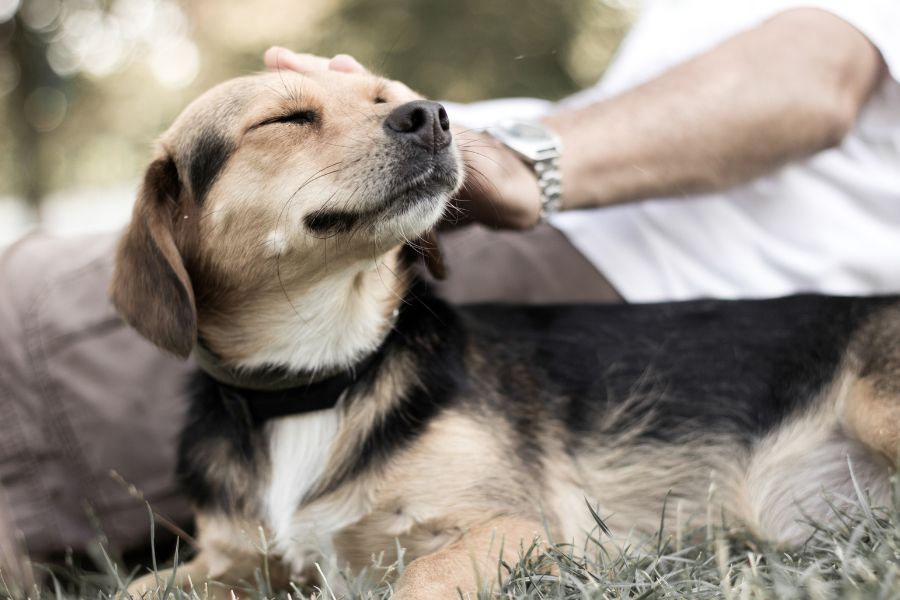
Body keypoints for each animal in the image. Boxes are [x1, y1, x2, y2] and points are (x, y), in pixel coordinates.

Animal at [110, 69, 900, 596]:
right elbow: (134, 586)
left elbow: (415, 581)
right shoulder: (234, 565)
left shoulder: (518, 527)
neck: (316, 381)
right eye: (286, 119)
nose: (430, 115)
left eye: (384, 98)